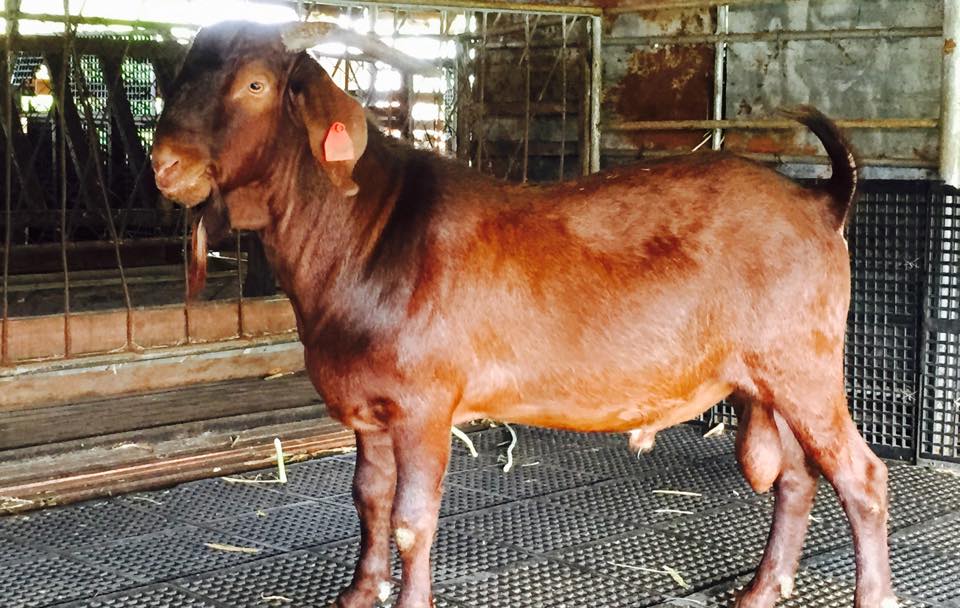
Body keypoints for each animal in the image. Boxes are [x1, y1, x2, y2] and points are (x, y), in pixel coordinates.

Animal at [151, 21, 896, 608]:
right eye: (180, 75)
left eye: (255, 85)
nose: (166, 162)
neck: (369, 230)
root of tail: (821, 201)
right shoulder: (368, 409)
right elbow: (368, 498)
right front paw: (359, 594)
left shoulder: (426, 404)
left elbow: (412, 519)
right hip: (765, 382)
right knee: (797, 478)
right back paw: (761, 590)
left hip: (804, 366)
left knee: (860, 477)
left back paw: (869, 593)